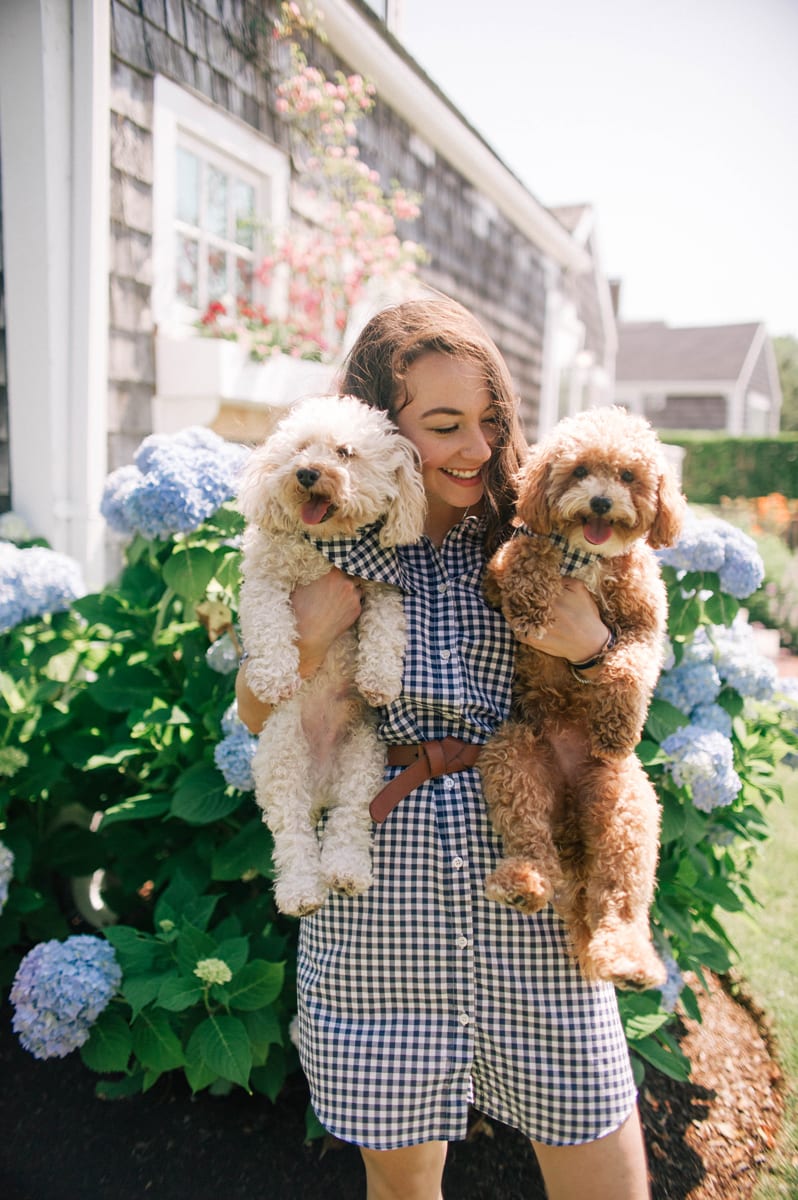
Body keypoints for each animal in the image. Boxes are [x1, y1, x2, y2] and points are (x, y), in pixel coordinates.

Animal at [235, 398, 427, 912]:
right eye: (300, 448)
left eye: (345, 452)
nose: (307, 473)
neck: (328, 547)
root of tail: (320, 789)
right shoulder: (264, 580)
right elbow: (270, 621)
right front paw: (275, 677)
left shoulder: (383, 589)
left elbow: (386, 628)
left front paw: (379, 679)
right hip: (282, 761)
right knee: (294, 836)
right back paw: (302, 890)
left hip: (363, 761)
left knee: (349, 820)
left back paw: (346, 870)